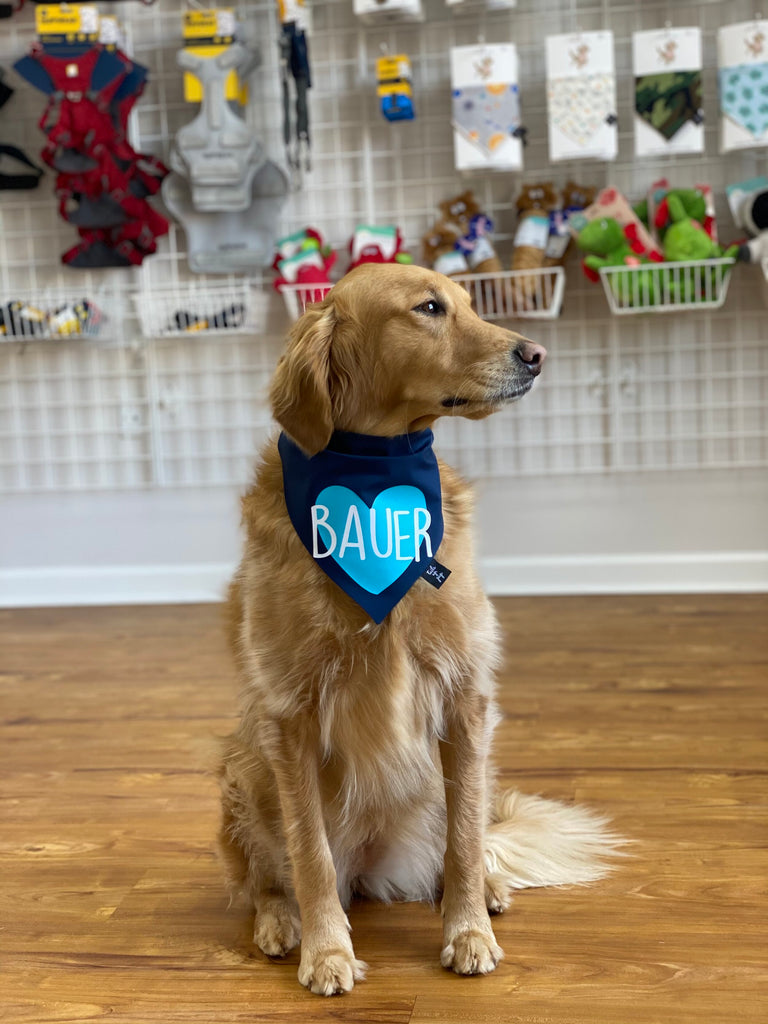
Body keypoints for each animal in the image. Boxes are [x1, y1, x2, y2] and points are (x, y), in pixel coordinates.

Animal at [215, 262, 618, 991]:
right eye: (429, 308)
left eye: (469, 303)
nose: (536, 355)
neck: (374, 484)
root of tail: (376, 864)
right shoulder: (288, 714)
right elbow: (308, 852)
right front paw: (327, 951)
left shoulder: (466, 697)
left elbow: (463, 841)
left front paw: (468, 932)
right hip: (243, 764)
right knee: (269, 876)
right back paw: (280, 921)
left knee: (466, 842)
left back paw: (487, 889)